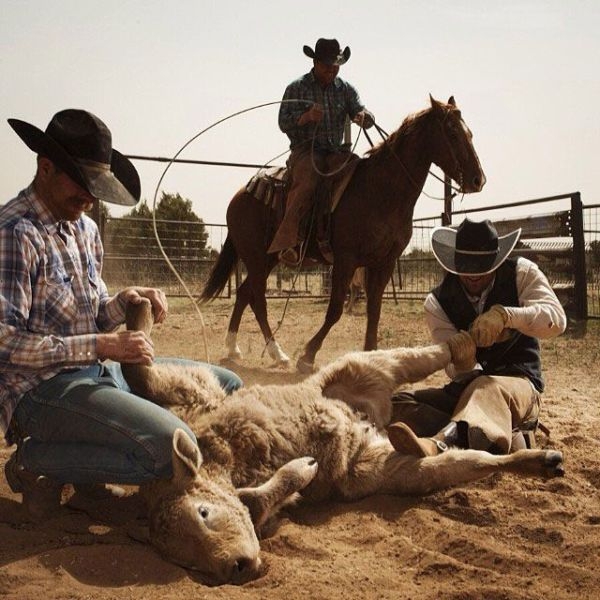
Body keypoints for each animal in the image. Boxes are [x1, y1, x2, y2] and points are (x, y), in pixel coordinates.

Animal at [204, 94, 486, 372]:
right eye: (451, 132)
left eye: (470, 133)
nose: (478, 180)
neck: (381, 190)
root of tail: (241, 194)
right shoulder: (345, 259)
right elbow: (335, 309)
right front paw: (307, 355)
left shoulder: (384, 262)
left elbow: (374, 309)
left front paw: (371, 354)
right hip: (255, 256)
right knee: (257, 299)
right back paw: (278, 353)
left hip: (268, 257)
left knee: (244, 294)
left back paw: (236, 349)